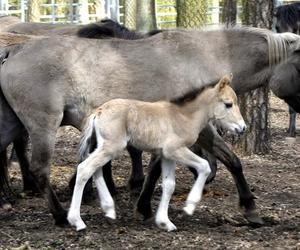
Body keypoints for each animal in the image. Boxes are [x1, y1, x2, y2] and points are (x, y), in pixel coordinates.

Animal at [68, 74, 246, 232]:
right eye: (228, 104)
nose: (242, 128)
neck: (183, 117)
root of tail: (98, 111)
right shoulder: (175, 150)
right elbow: (204, 166)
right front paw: (189, 206)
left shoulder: (167, 156)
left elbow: (169, 185)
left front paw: (164, 222)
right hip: (111, 147)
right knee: (85, 169)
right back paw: (77, 221)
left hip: (103, 147)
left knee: (95, 169)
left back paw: (109, 210)